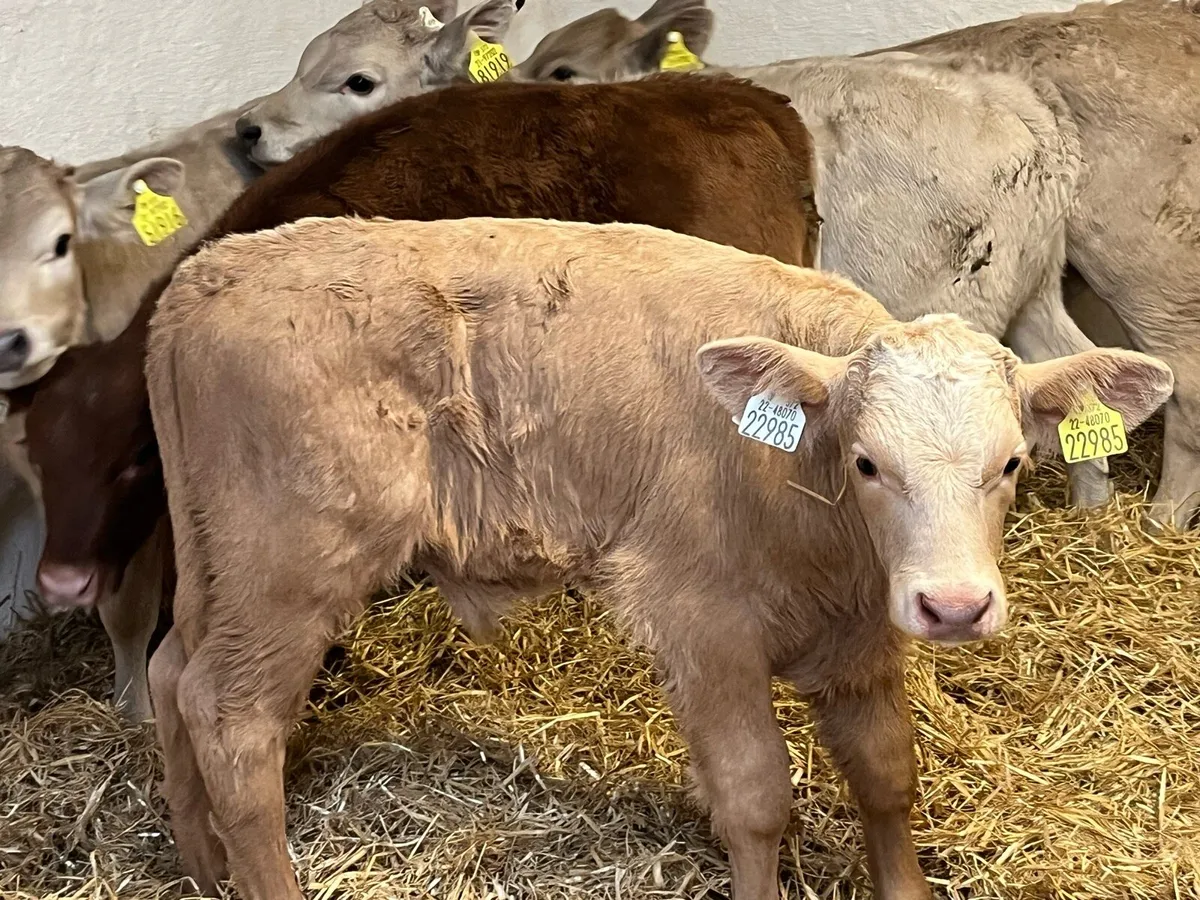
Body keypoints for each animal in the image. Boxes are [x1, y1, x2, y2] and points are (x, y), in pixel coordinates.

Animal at [142, 215, 1173, 900]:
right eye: (869, 462)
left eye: (1011, 464)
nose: (954, 607)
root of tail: (207, 271)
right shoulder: (700, 621)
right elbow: (755, 794)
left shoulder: (858, 636)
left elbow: (887, 773)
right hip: (286, 570)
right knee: (231, 719)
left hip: (217, 566)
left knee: (169, 675)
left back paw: (202, 865)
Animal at [508, 0, 1115, 512]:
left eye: (561, 71)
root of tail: (1018, 101)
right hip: (1034, 289)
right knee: (1077, 367)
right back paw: (1091, 504)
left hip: (964, 304)